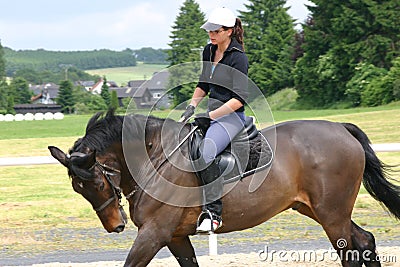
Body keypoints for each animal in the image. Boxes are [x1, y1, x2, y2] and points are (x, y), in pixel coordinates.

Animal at [49, 110, 400, 266]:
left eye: (97, 182)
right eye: (78, 189)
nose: (115, 226)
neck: (156, 159)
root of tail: (341, 128)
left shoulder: (154, 234)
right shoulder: (175, 237)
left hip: (331, 214)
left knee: (351, 251)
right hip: (318, 209)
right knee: (364, 240)